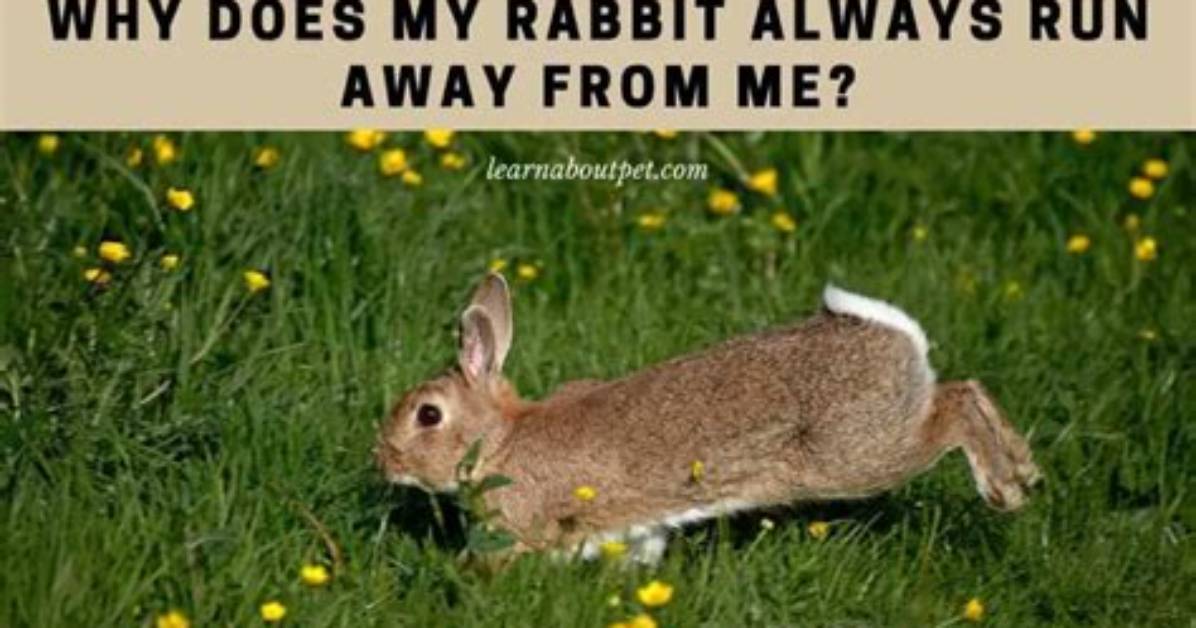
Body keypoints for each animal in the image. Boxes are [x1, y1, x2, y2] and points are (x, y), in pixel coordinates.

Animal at [376, 274, 1041, 563]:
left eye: (428, 416)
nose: (381, 460)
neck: (498, 440)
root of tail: (893, 338)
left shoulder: (525, 527)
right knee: (967, 387)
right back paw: (1026, 472)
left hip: (860, 453)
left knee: (954, 409)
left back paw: (1002, 488)